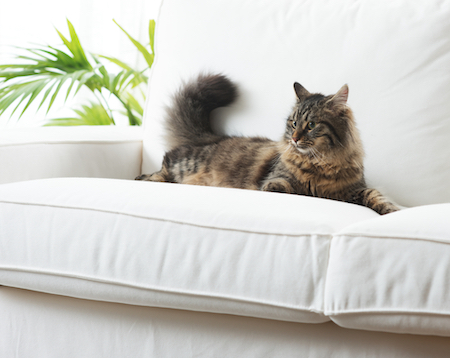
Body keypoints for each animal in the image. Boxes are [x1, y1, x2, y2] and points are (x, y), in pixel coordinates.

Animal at [135, 71, 400, 214]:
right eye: (294, 123)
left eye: (311, 125)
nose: (294, 139)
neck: (320, 164)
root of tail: (212, 136)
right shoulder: (275, 182)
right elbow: (292, 189)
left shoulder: (356, 189)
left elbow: (377, 197)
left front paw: (393, 210)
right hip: (184, 164)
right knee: (161, 167)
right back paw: (144, 179)